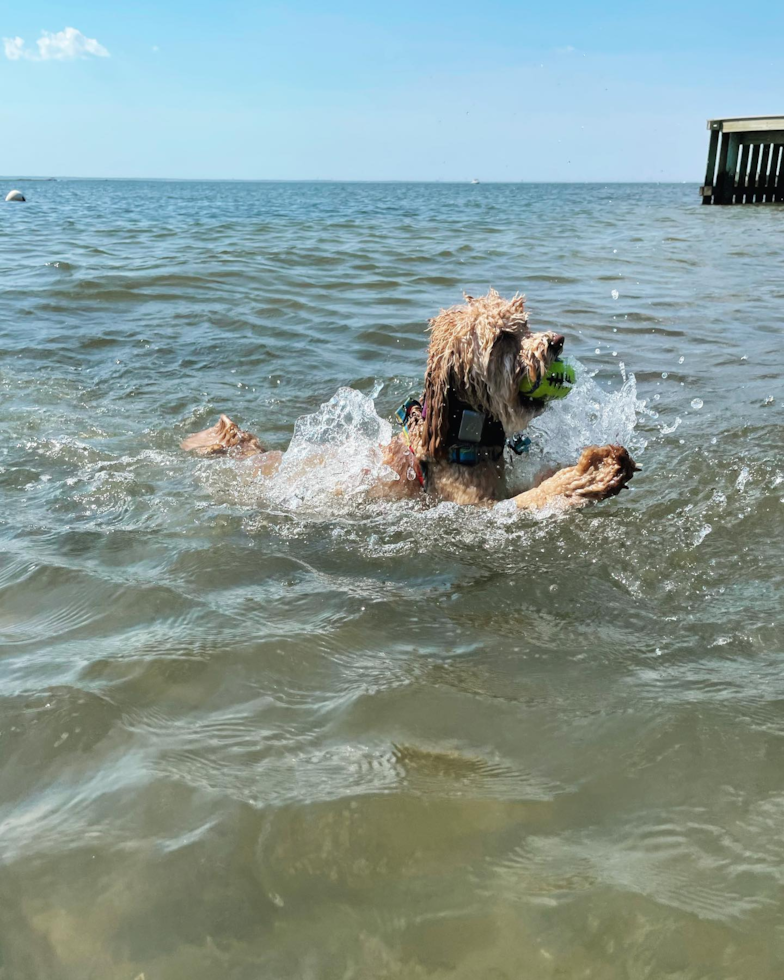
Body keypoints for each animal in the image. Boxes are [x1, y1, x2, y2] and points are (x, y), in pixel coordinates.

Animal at [182, 290, 636, 512]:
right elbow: (532, 499)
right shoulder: (472, 511)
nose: (557, 341)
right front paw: (588, 478)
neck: (458, 435)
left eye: (524, 325)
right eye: (504, 338)